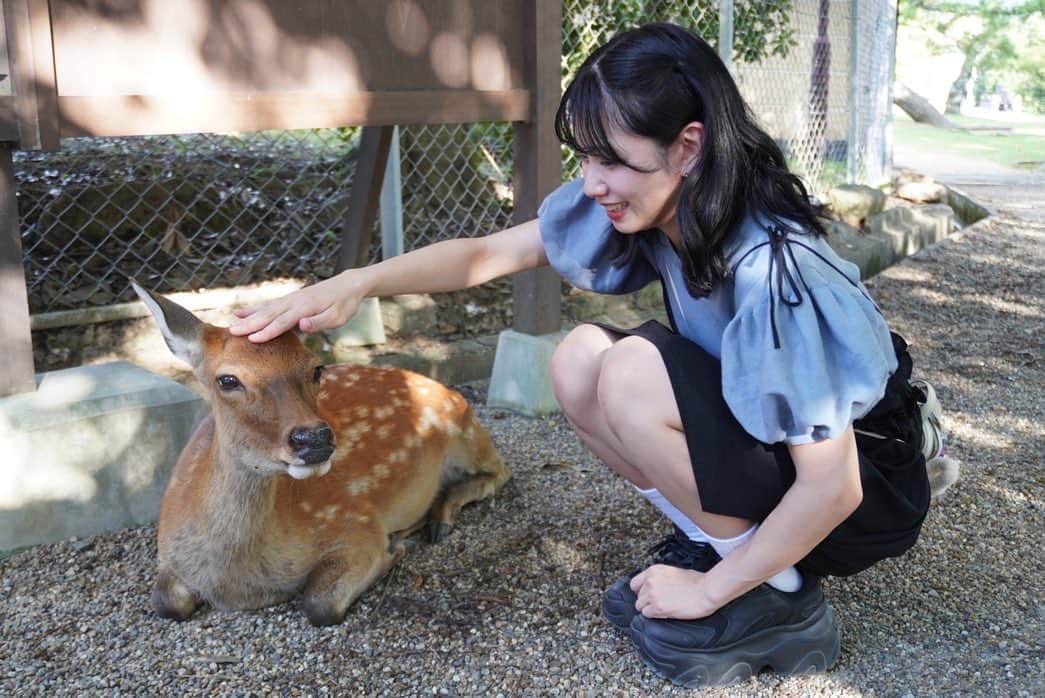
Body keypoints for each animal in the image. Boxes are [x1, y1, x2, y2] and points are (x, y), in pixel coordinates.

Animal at [131, 282, 510, 626]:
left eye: (316, 368)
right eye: (227, 380)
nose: (314, 438)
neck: (238, 584)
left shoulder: (357, 523)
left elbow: (319, 604)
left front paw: (397, 549)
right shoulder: (168, 554)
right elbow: (166, 602)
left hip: (463, 431)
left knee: (499, 472)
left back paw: (437, 520)